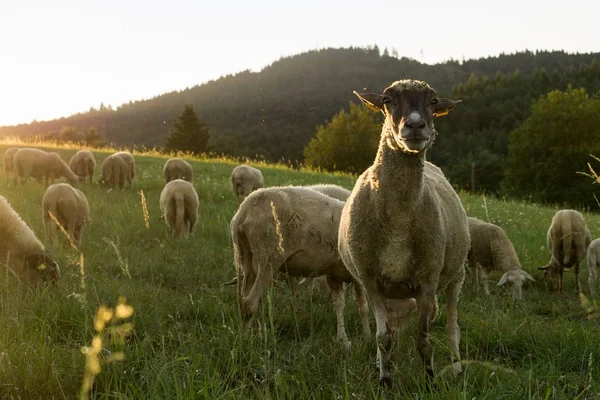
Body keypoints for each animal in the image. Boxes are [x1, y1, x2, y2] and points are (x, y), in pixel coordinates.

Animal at [231, 186, 368, 348]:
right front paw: (368, 337)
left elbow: (339, 305)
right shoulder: (356, 275)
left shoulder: (332, 273)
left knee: (242, 301)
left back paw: (246, 334)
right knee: (249, 303)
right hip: (268, 258)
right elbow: (363, 306)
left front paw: (343, 340)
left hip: (246, 258)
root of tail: (245, 210)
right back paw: (244, 341)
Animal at [338, 78, 468, 384]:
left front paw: (430, 380)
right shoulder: (370, 280)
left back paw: (456, 365)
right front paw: (385, 380)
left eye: (433, 102)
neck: (398, 218)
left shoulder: (428, 280)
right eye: (387, 100)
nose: (416, 125)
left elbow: (423, 340)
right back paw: (379, 362)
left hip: (456, 275)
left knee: (452, 326)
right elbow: (383, 337)